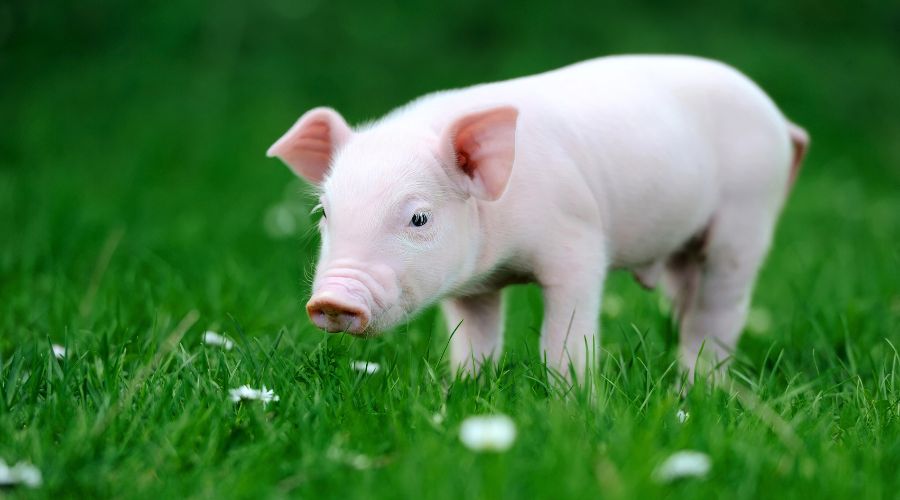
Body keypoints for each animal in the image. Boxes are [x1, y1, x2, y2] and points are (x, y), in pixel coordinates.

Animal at [267, 55, 809, 381]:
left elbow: (564, 338)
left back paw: (698, 386)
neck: (504, 260)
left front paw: (572, 405)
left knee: (723, 306)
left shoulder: (579, 240)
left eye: (419, 218)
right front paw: (463, 392)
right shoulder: (472, 287)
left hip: (748, 215)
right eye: (323, 212)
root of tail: (782, 122)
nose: (333, 299)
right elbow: (475, 341)